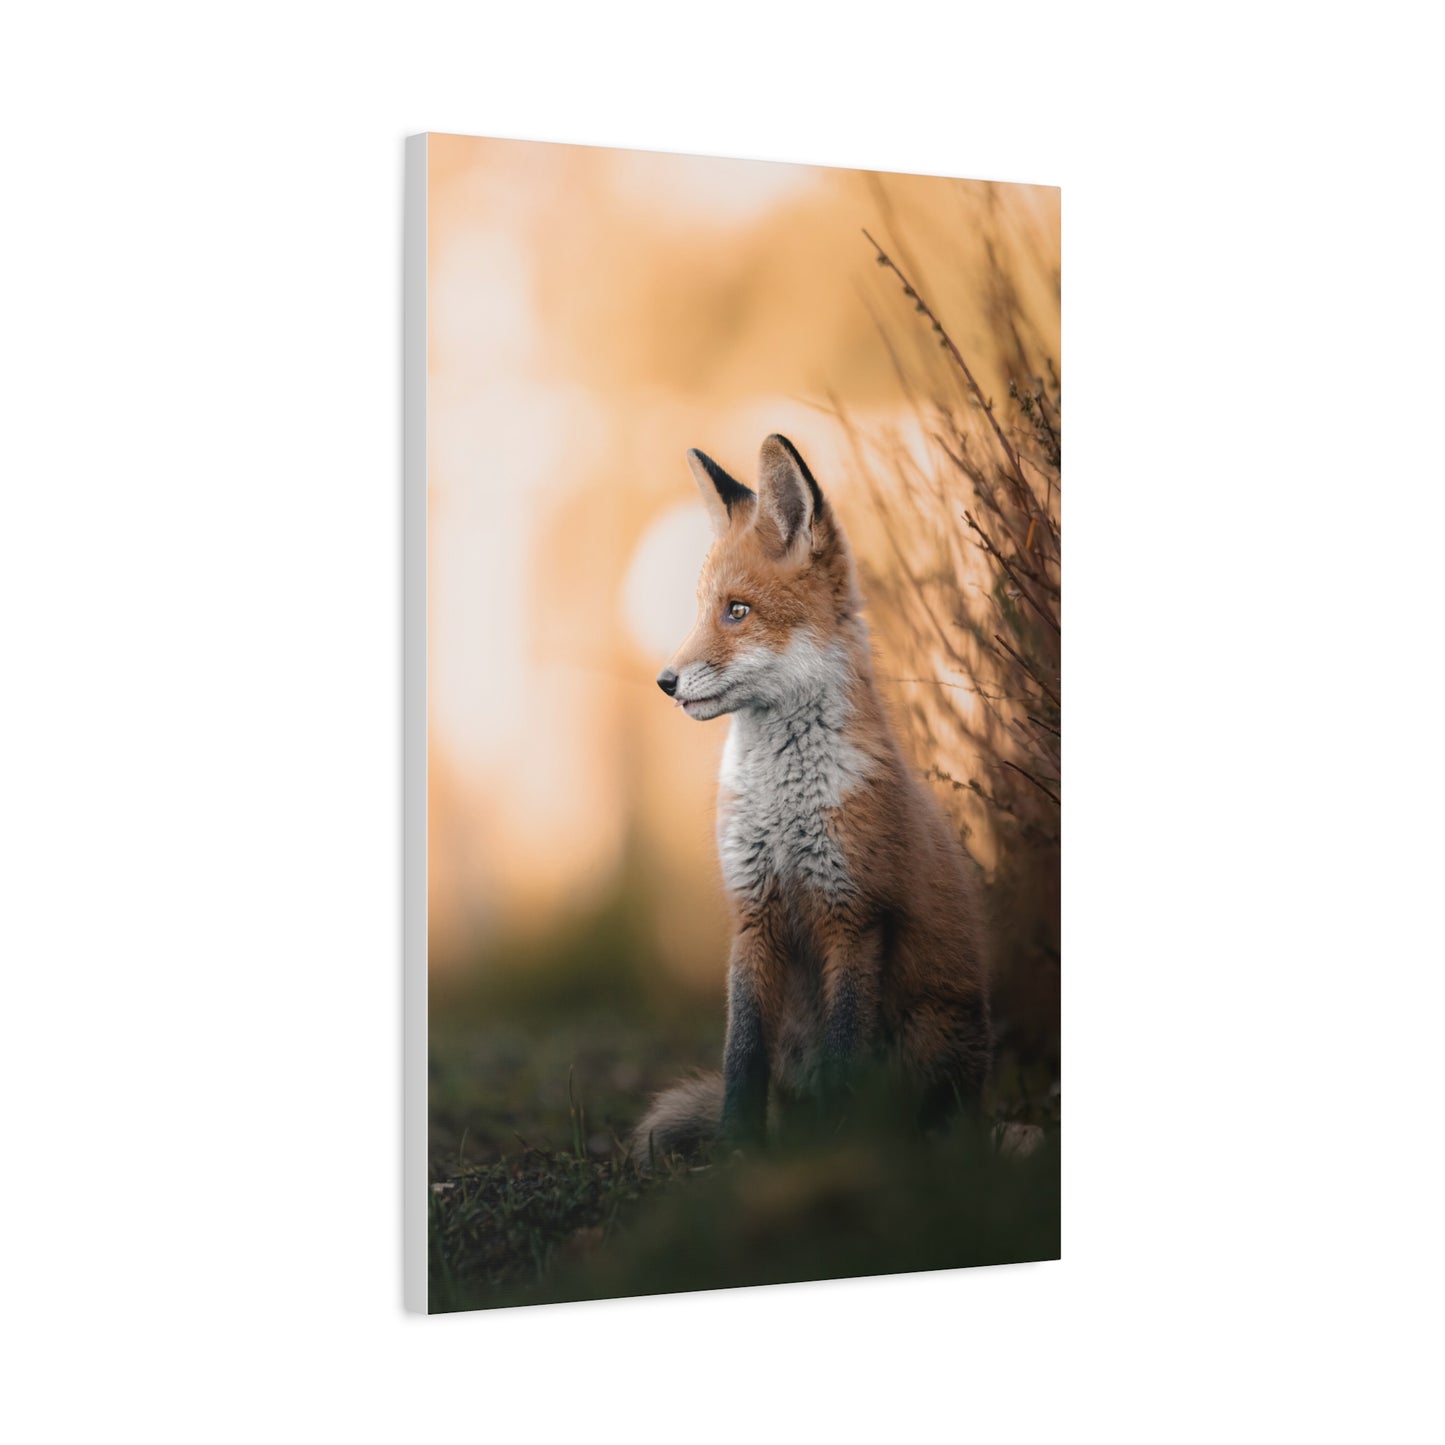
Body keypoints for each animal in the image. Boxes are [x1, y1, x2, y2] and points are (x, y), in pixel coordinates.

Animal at [632, 433, 992, 1162]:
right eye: (701, 609)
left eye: (737, 611)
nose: (664, 681)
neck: (781, 805)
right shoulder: (752, 913)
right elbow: (741, 1053)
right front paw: (738, 1148)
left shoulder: (852, 913)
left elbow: (844, 1053)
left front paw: (835, 1147)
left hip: (931, 1035)